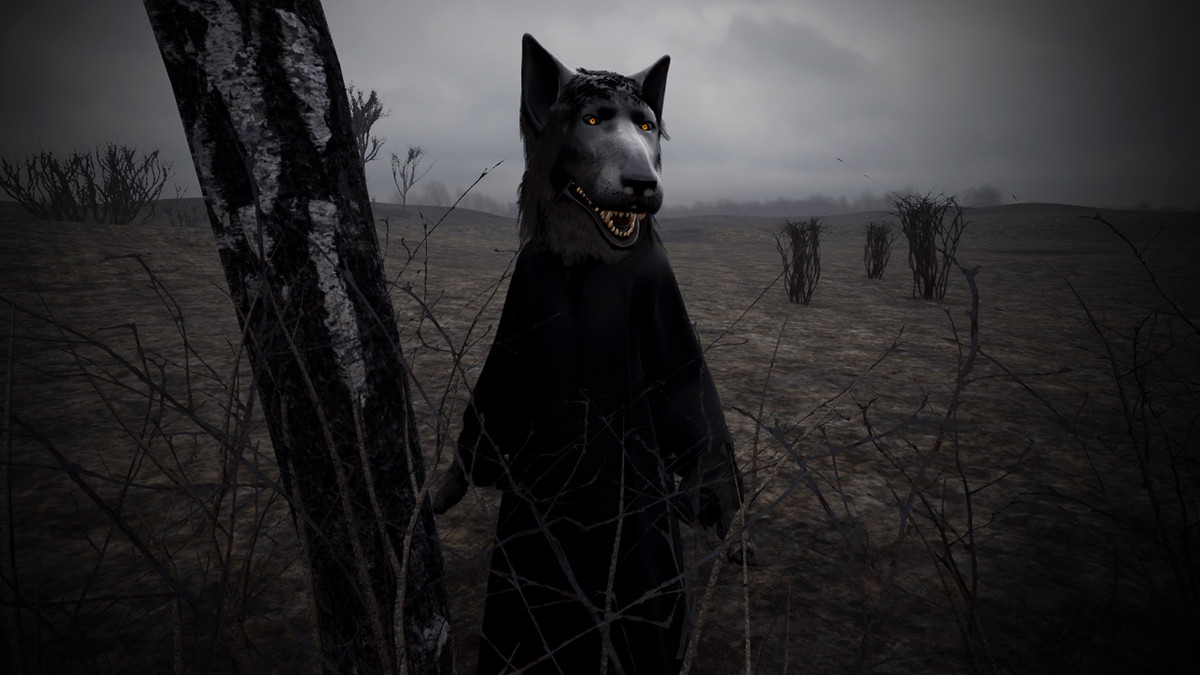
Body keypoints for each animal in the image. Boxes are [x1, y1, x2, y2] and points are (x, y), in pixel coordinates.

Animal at [433, 34, 749, 674]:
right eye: (593, 120)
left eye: (647, 126)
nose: (644, 184)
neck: (584, 260)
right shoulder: (522, 291)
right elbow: (491, 394)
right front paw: (452, 480)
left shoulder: (661, 294)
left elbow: (689, 396)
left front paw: (723, 506)